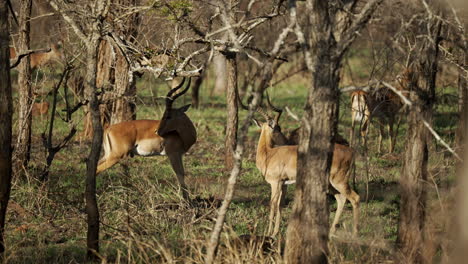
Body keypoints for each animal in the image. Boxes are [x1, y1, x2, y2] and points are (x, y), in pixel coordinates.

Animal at [252, 102, 358, 236]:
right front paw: (275, 232)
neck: (268, 154)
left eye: (279, 127)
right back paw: (331, 232)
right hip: (331, 184)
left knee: (355, 198)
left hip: (339, 181)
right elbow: (280, 205)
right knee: (341, 199)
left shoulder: (275, 183)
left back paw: (355, 233)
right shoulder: (284, 184)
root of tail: (351, 151)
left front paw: (268, 233)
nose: (286, 141)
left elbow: (273, 204)